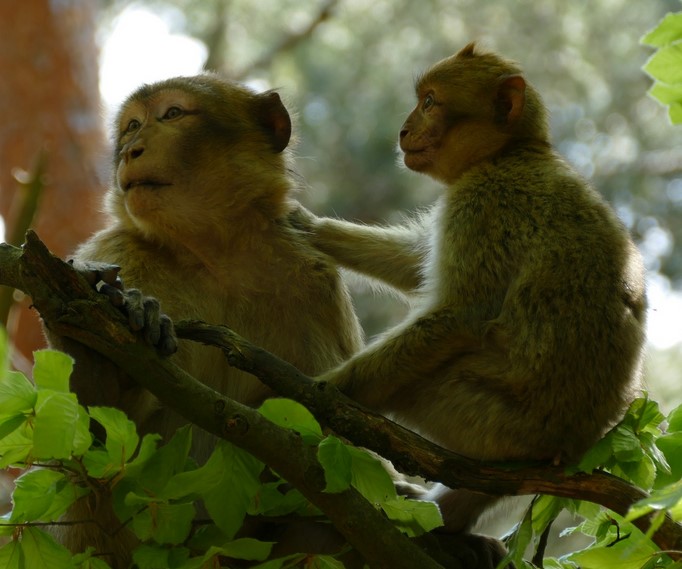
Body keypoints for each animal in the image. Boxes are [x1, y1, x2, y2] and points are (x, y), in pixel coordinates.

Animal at [44, 74, 364, 567]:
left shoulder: (315, 282)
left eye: (172, 114)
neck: (213, 256)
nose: (131, 149)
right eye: (132, 125)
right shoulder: (113, 253)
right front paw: (97, 357)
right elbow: (91, 446)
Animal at [293, 42, 647, 565]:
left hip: (482, 415)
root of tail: (570, 444)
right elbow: (416, 265)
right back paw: (448, 526)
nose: (402, 130)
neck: (509, 153)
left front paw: (324, 390)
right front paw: (309, 228)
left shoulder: (484, 203)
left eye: (429, 102)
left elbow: (460, 314)